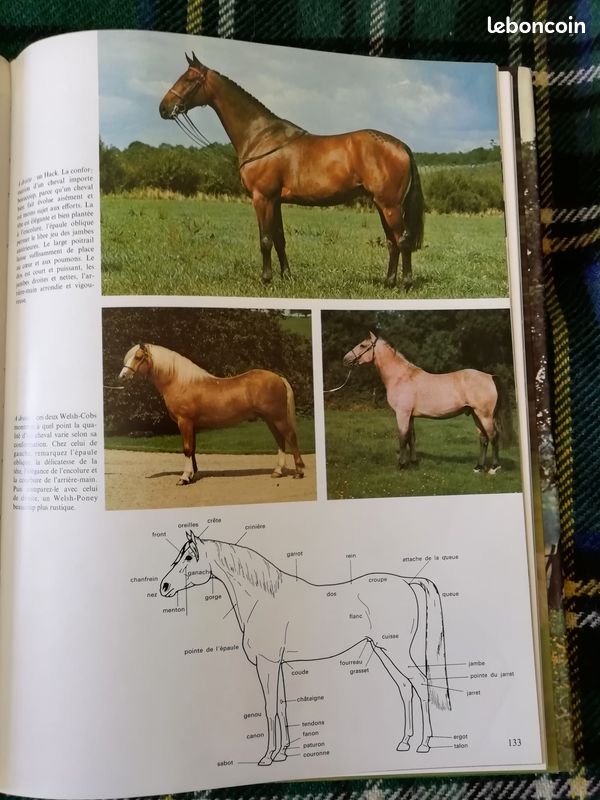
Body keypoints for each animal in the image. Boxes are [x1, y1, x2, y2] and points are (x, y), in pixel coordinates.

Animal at [118, 343, 305, 484]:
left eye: (138, 357)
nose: (122, 376)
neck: (180, 382)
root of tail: (278, 378)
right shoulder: (192, 425)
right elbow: (193, 449)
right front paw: (192, 475)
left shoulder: (184, 422)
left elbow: (187, 449)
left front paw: (184, 478)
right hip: (269, 419)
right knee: (280, 440)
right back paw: (277, 471)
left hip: (278, 418)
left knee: (291, 437)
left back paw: (299, 472)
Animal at [159, 52, 424, 290]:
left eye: (189, 79)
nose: (163, 108)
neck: (260, 136)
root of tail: (401, 145)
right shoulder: (275, 200)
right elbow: (279, 239)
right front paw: (286, 277)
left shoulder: (262, 198)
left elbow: (265, 240)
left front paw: (266, 279)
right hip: (382, 205)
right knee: (392, 242)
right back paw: (389, 283)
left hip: (390, 205)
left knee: (402, 240)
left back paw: (405, 284)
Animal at [161, 531, 451, 765]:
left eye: (189, 557)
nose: (163, 586)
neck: (262, 600)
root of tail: (407, 581)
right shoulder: (277, 665)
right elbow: (282, 705)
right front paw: (283, 753)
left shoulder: (266, 664)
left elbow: (269, 708)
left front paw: (267, 757)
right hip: (383, 650)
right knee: (405, 688)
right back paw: (404, 742)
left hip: (395, 650)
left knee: (421, 684)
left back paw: (424, 744)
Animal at [343, 332, 514, 473]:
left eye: (363, 345)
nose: (345, 359)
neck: (401, 377)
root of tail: (490, 376)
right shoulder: (410, 416)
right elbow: (411, 438)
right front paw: (413, 463)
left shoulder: (402, 414)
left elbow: (402, 438)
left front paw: (401, 465)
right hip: (475, 414)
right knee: (483, 439)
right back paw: (478, 467)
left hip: (484, 415)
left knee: (494, 436)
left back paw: (494, 468)